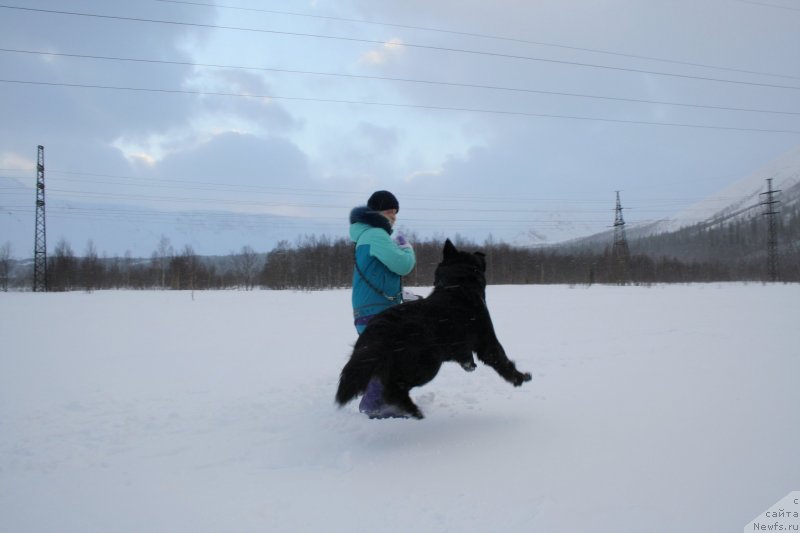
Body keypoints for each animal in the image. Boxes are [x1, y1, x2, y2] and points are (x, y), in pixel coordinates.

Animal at [338, 239, 532, 418]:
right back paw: (414, 411)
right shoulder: (487, 341)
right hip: (426, 363)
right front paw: (520, 378)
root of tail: (379, 327)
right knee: (394, 388)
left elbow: (467, 357)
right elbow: (503, 361)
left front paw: (469, 365)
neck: (458, 286)